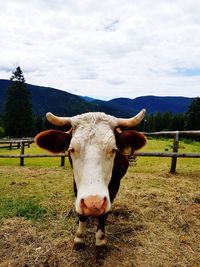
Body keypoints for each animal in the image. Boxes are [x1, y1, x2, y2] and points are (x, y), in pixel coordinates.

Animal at [34, 109, 147, 249]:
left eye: (114, 149)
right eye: (71, 149)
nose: (93, 204)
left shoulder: (114, 186)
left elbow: (104, 214)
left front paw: (100, 239)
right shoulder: (76, 183)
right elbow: (81, 214)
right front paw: (79, 238)